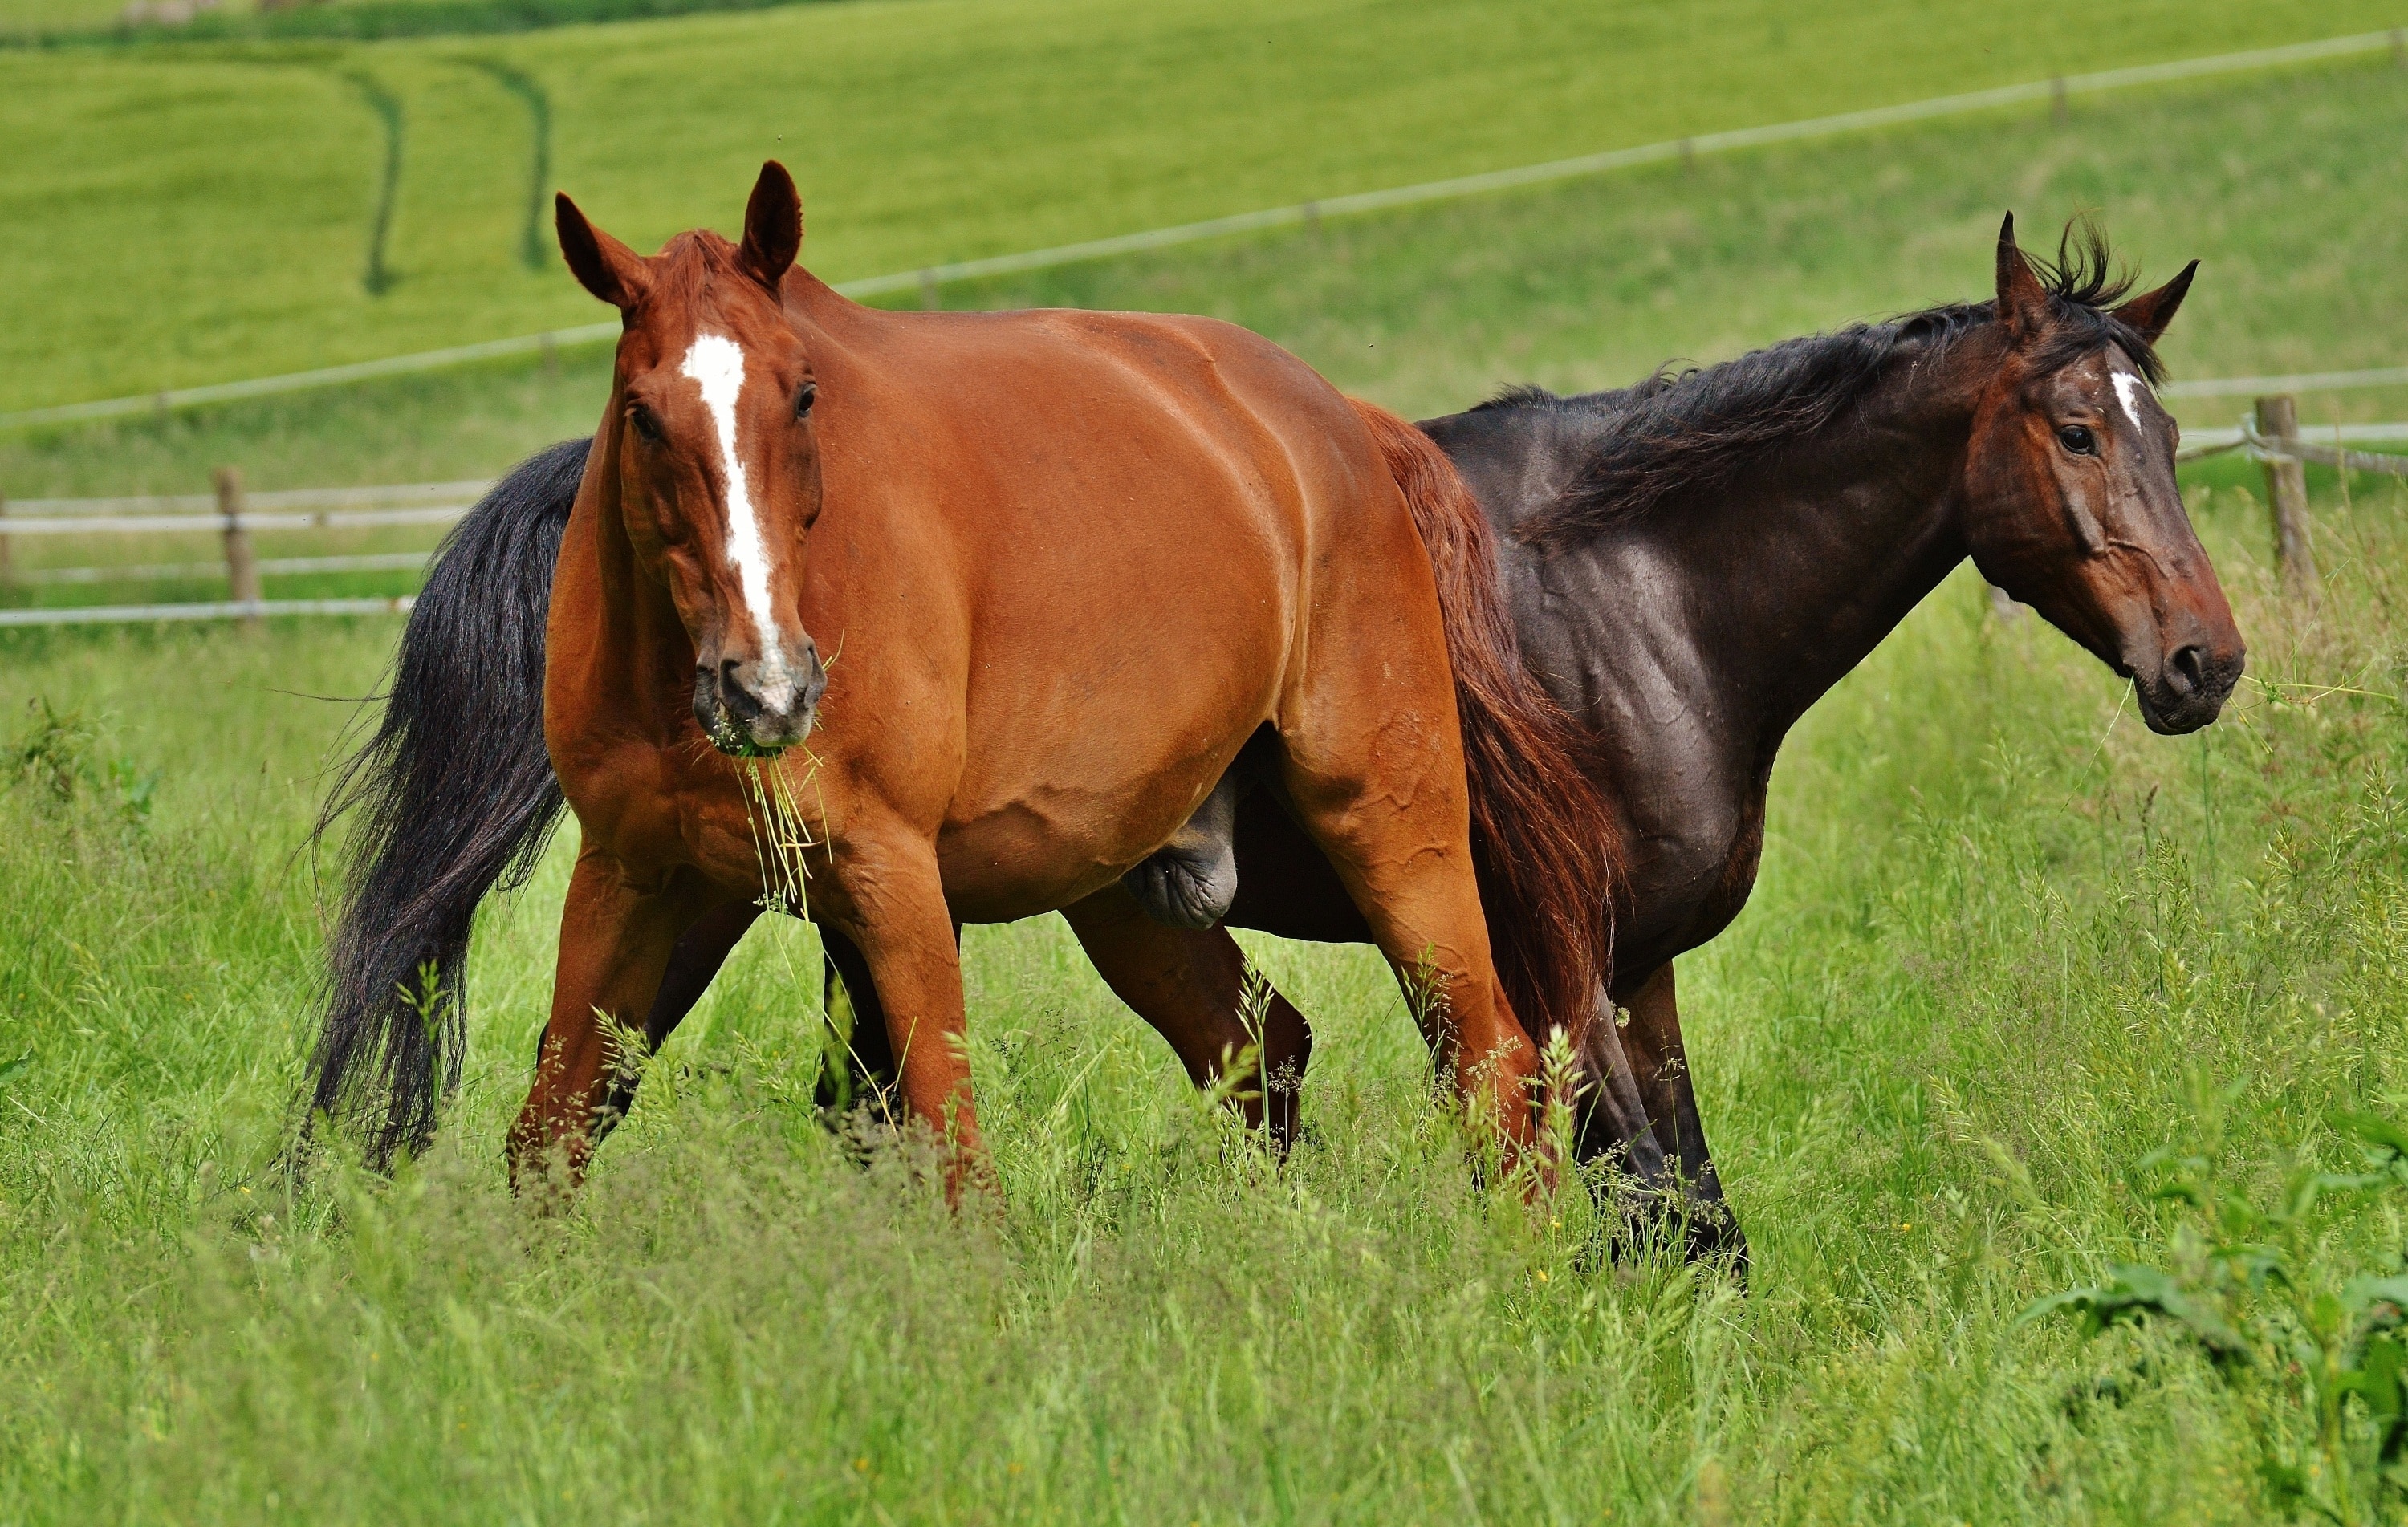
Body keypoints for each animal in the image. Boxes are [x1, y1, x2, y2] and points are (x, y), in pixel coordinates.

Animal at [306, 169, 1618, 1189]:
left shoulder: (892, 883)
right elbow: (552, 1133)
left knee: (1491, 1059)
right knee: (1262, 1051)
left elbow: (952, 1160)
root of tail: (1336, 418)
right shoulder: (634, 876)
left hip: (1392, 823)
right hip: (1128, 884)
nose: (768, 689)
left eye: (804, 392)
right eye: (641, 414)